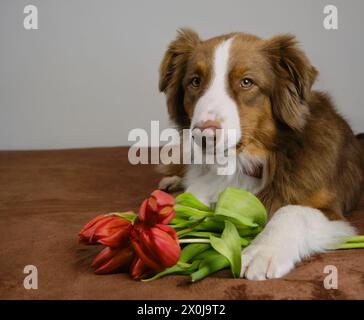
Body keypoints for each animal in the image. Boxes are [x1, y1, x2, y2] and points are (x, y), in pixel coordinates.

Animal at [158, 29, 362, 280]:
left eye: (247, 82)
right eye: (195, 81)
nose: (204, 135)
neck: (240, 164)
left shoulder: (330, 210)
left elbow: (291, 211)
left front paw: (262, 251)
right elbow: (185, 205)